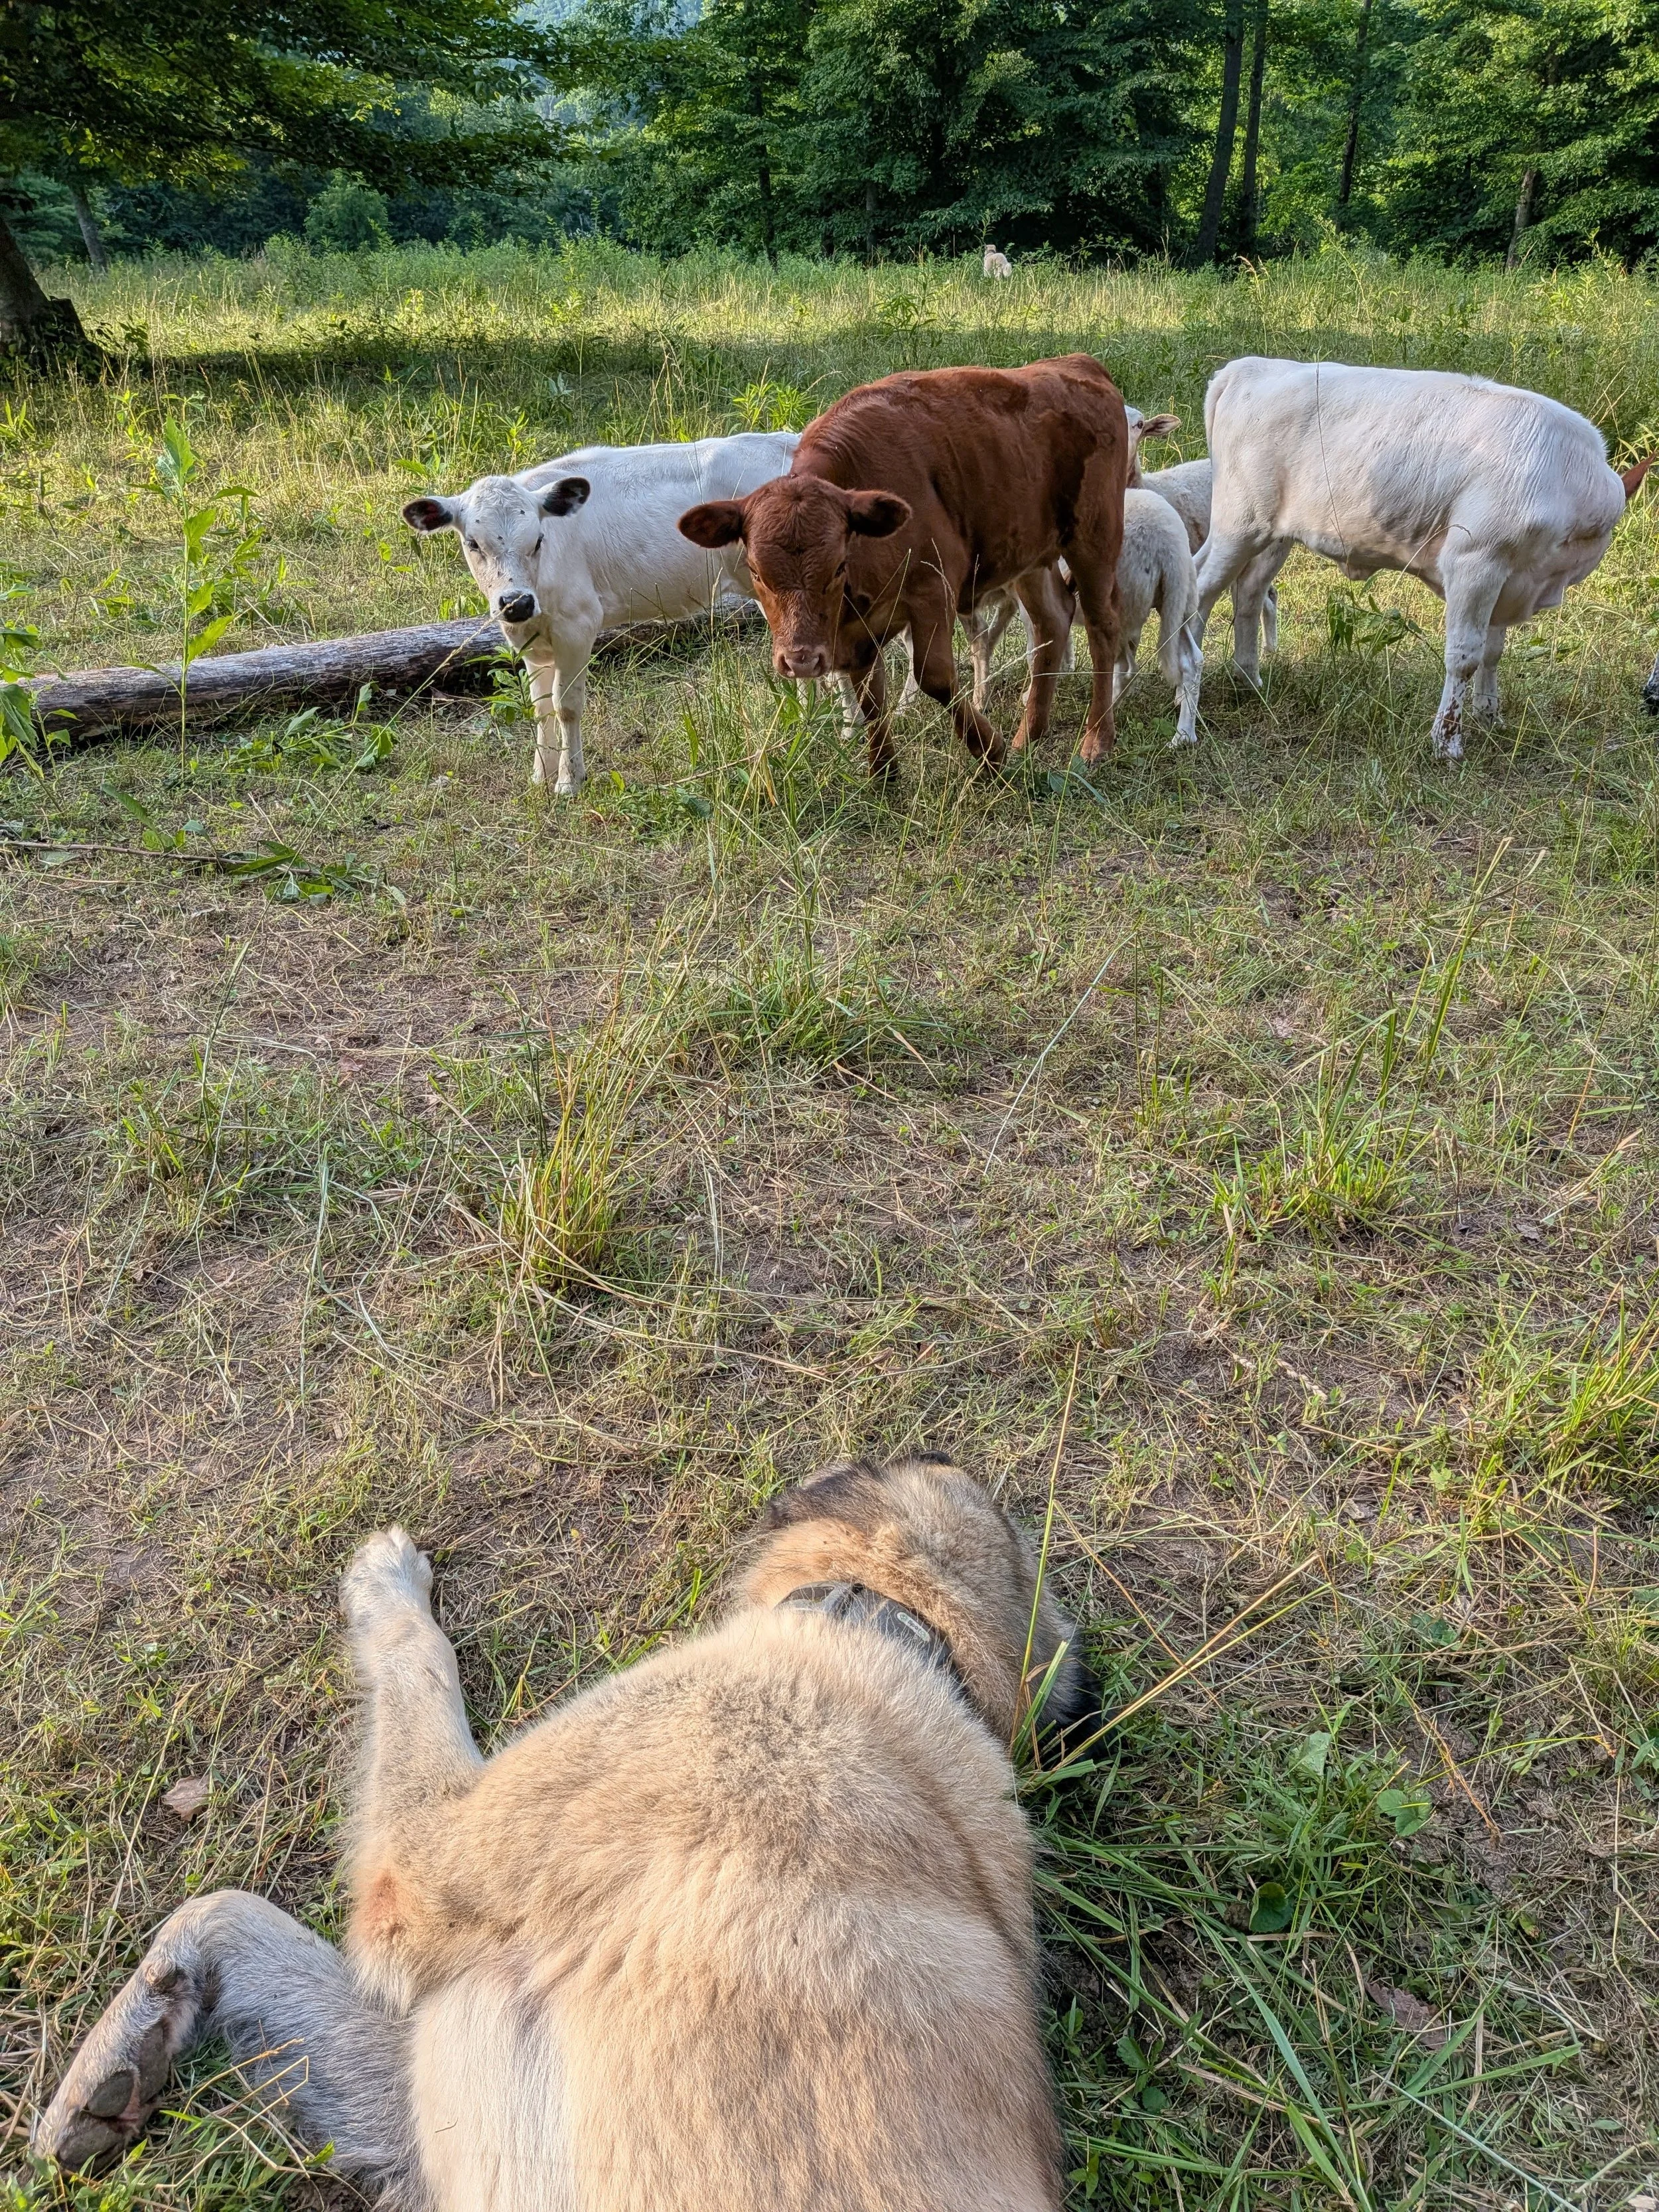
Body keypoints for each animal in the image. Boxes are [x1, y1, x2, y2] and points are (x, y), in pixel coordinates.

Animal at [403, 433, 798, 796]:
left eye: (539, 539)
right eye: (473, 543)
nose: (517, 602)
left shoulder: (578, 625)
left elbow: (566, 706)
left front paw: (568, 781)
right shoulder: (531, 641)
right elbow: (541, 706)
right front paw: (540, 775)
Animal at [677, 357, 1129, 777]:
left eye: (838, 566)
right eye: (756, 571)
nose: (801, 660)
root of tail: (1079, 364)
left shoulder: (933, 588)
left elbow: (935, 677)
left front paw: (990, 751)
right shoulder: (856, 631)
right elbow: (869, 694)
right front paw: (884, 774)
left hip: (1095, 539)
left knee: (1102, 626)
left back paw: (1096, 739)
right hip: (1030, 555)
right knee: (1053, 621)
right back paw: (1028, 735)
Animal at [1191, 358, 1650, 757]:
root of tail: (1250, 366)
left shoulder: (1509, 577)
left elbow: (1493, 651)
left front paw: (1489, 716)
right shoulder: (1474, 562)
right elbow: (1465, 655)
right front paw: (1447, 741)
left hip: (1273, 535)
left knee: (1248, 593)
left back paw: (1249, 680)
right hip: (1239, 524)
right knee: (1200, 590)